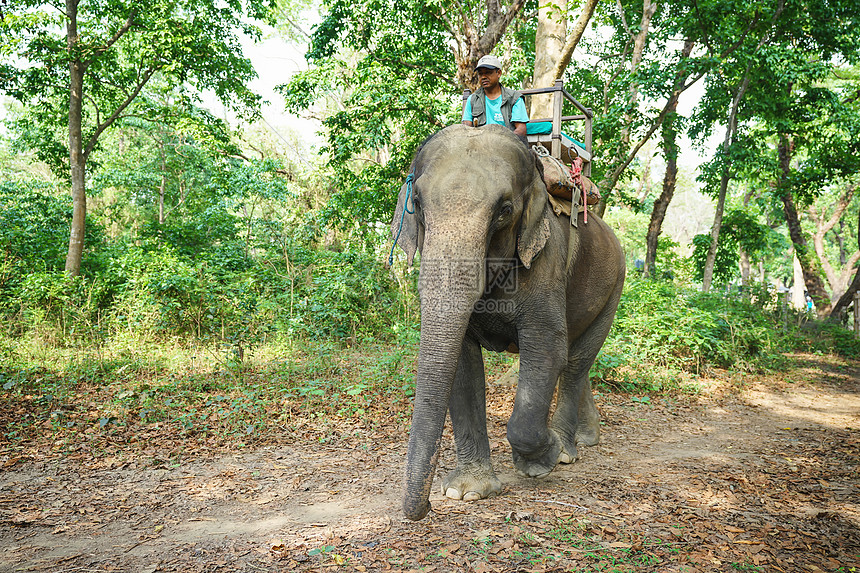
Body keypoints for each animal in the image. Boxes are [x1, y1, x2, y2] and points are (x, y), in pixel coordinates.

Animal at [392, 123, 624, 520]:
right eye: (418, 204)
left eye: (504, 210)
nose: (425, 508)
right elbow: (463, 365)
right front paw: (465, 492)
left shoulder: (547, 258)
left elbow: (546, 348)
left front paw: (543, 459)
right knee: (576, 360)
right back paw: (587, 438)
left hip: (614, 286)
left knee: (575, 361)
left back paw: (566, 450)